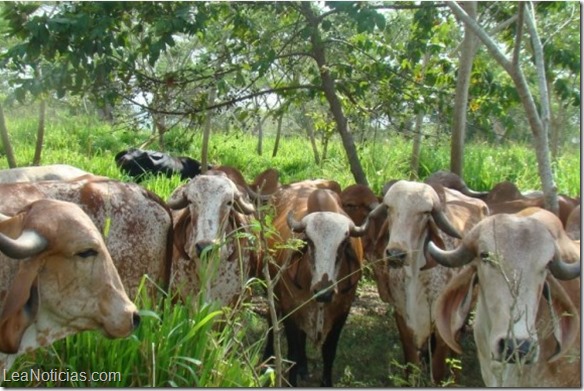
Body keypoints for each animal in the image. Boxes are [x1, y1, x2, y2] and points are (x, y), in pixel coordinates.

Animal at [260, 185, 364, 388]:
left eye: (344, 243)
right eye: (308, 241)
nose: (324, 291)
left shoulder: (343, 311)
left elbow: (329, 352)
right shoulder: (290, 309)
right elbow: (292, 353)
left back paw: (303, 367)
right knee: (271, 323)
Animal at [370, 181, 488, 386]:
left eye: (424, 213)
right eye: (389, 208)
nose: (395, 254)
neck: (415, 278)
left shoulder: (443, 323)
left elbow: (439, 370)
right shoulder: (402, 316)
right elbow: (411, 366)